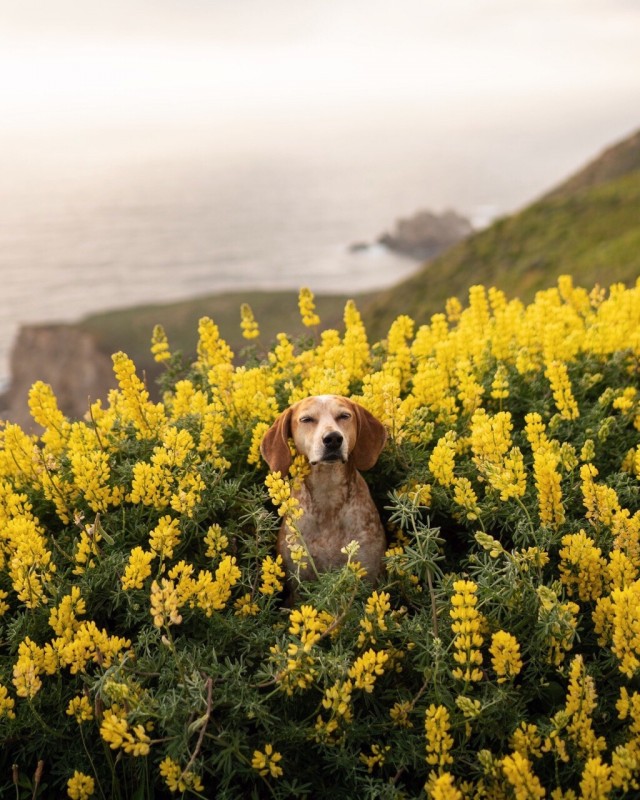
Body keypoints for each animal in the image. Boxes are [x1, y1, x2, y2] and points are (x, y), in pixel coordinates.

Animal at [258, 396, 384, 584]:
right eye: (306, 419)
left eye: (344, 416)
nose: (333, 438)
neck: (328, 492)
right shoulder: (298, 576)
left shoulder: (368, 571)